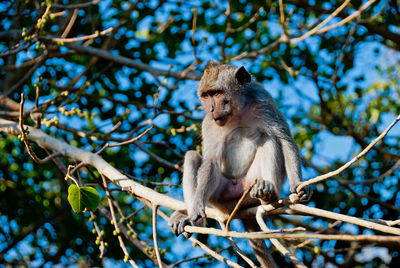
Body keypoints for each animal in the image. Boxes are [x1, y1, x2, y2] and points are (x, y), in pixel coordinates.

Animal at [169, 61, 312, 266]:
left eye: (217, 93)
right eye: (206, 96)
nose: (211, 109)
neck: (236, 112)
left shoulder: (264, 102)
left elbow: (284, 139)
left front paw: (298, 185)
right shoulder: (209, 124)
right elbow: (210, 162)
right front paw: (194, 214)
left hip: (248, 190)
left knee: (270, 139)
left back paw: (269, 194)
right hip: (221, 197)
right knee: (192, 157)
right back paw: (196, 222)